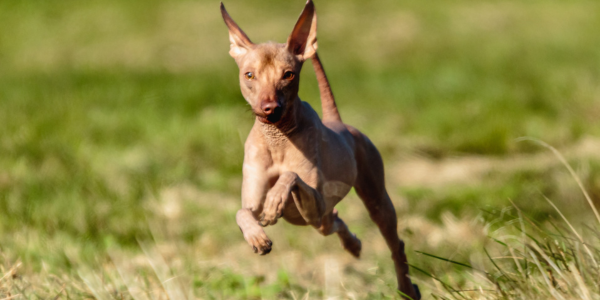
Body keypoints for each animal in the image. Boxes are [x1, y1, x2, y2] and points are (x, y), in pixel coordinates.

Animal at [220, 1, 422, 298]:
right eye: (249, 75)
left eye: (288, 74)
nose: (270, 108)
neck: (277, 138)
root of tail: (338, 122)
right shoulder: (256, 201)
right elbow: (242, 212)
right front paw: (257, 237)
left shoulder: (315, 202)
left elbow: (290, 176)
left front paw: (275, 201)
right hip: (320, 221)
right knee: (335, 220)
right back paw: (353, 245)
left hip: (373, 202)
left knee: (396, 244)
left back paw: (406, 287)